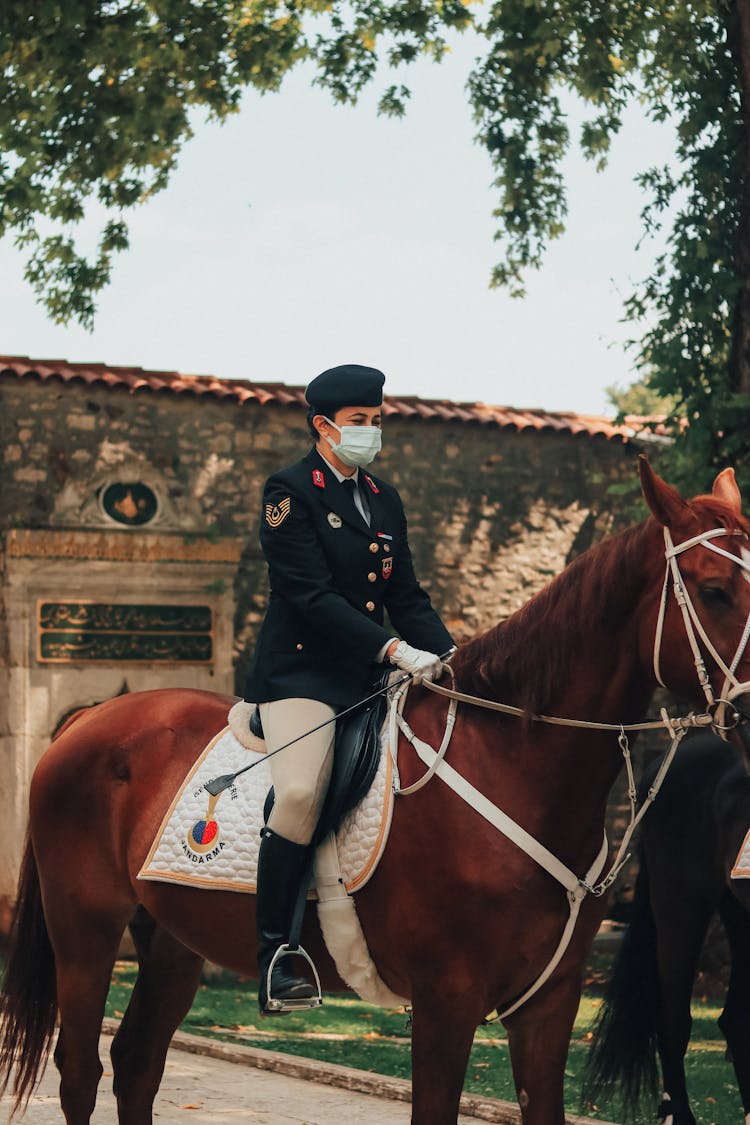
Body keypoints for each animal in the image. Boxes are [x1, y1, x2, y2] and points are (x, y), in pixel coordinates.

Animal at [1, 459, 750, 1125]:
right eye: (716, 590)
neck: (514, 763)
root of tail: (90, 719)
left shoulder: (549, 1003)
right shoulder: (446, 1001)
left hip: (173, 940)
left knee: (136, 1065)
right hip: (86, 930)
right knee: (80, 1072)